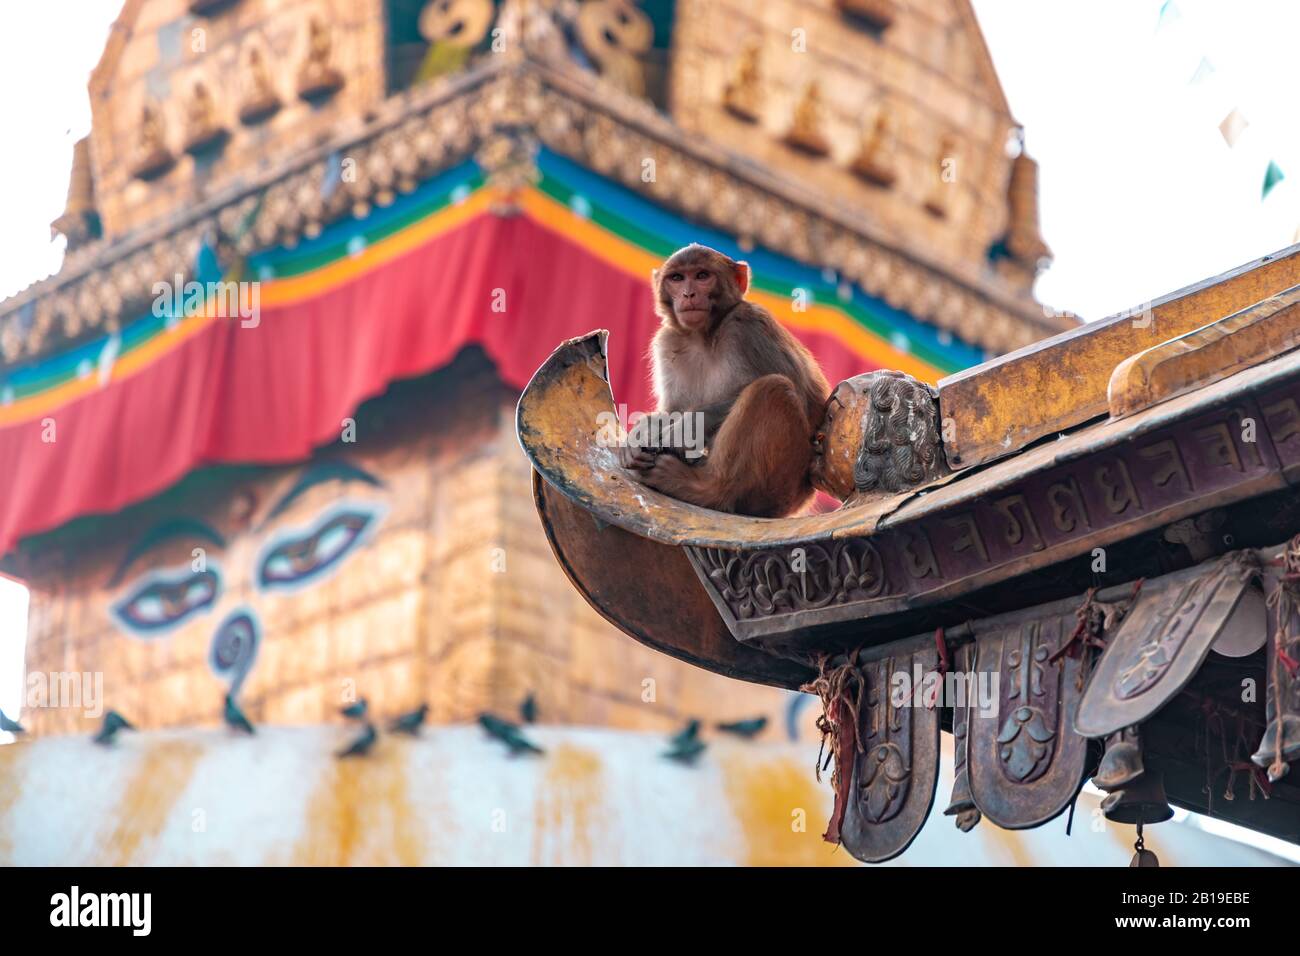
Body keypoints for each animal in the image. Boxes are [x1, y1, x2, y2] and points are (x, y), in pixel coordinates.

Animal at [616, 243, 821, 520]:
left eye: (702, 276)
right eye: (677, 278)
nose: (688, 294)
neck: (704, 335)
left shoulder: (748, 324)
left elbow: (802, 396)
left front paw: (681, 431)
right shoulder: (668, 340)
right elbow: (672, 409)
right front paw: (643, 430)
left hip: (784, 486)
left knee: (773, 389)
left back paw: (707, 489)